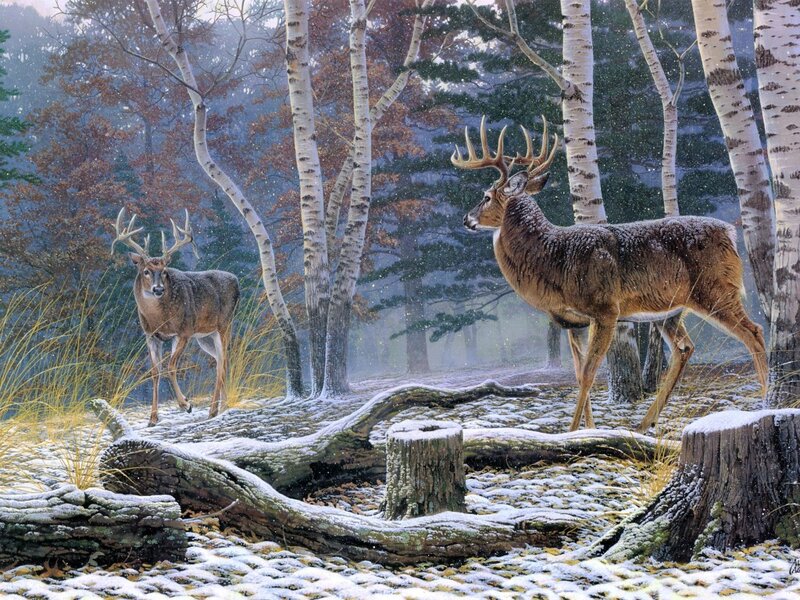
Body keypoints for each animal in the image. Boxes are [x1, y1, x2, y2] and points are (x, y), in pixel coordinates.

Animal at [111, 208, 240, 426]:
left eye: (164, 271)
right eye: (146, 271)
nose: (158, 289)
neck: (160, 318)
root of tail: (236, 280)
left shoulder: (184, 331)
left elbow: (171, 366)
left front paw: (185, 404)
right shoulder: (151, 335)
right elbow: (155, 372)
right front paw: (153, 418)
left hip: (224, 324)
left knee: (222, 362)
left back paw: (213, 409)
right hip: (205, 336)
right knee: (221, 360)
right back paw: (222, 406)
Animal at [451, 116, 768, 433]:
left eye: (486, 196)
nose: (466, 219)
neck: (553, 258)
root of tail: (730, 233)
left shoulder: (605, 309)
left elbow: (590, 372)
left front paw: (572, 431)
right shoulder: (573, 320)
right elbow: (579, 373)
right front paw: (587, 429)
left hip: (716, 290)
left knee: (754, 332)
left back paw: (766, 401)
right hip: (671, 311)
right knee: (685, 348)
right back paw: (644, 423)